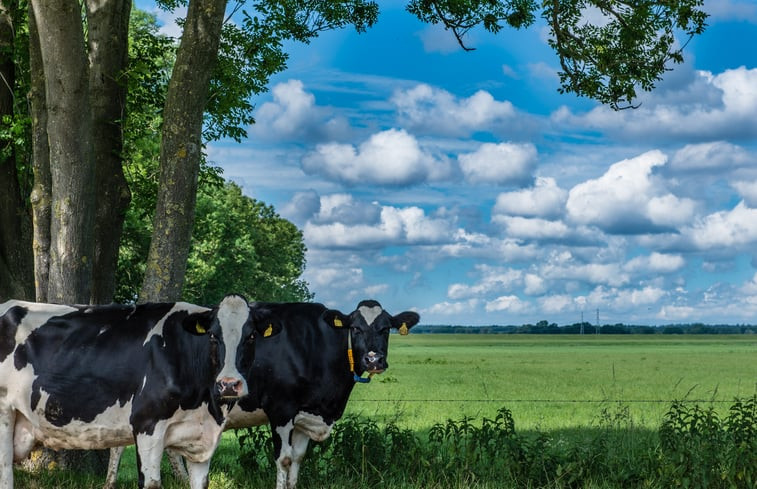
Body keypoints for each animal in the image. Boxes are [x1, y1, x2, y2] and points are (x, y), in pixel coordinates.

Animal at [0, 294, 278, 488]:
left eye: (251, 336)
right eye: (212, 336)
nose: (229, 383)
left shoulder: (200, 440)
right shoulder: (147, 425)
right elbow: (152, 483)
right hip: (3, 414)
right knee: (5, 473)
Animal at [105, 300, 420, 486]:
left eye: (386, 329)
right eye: (355, 328)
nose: (373, 360)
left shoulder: (306, 415)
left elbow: (298, 460)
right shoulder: (281, 409)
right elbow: (284, 459)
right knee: (121, 443)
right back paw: (110, 481)